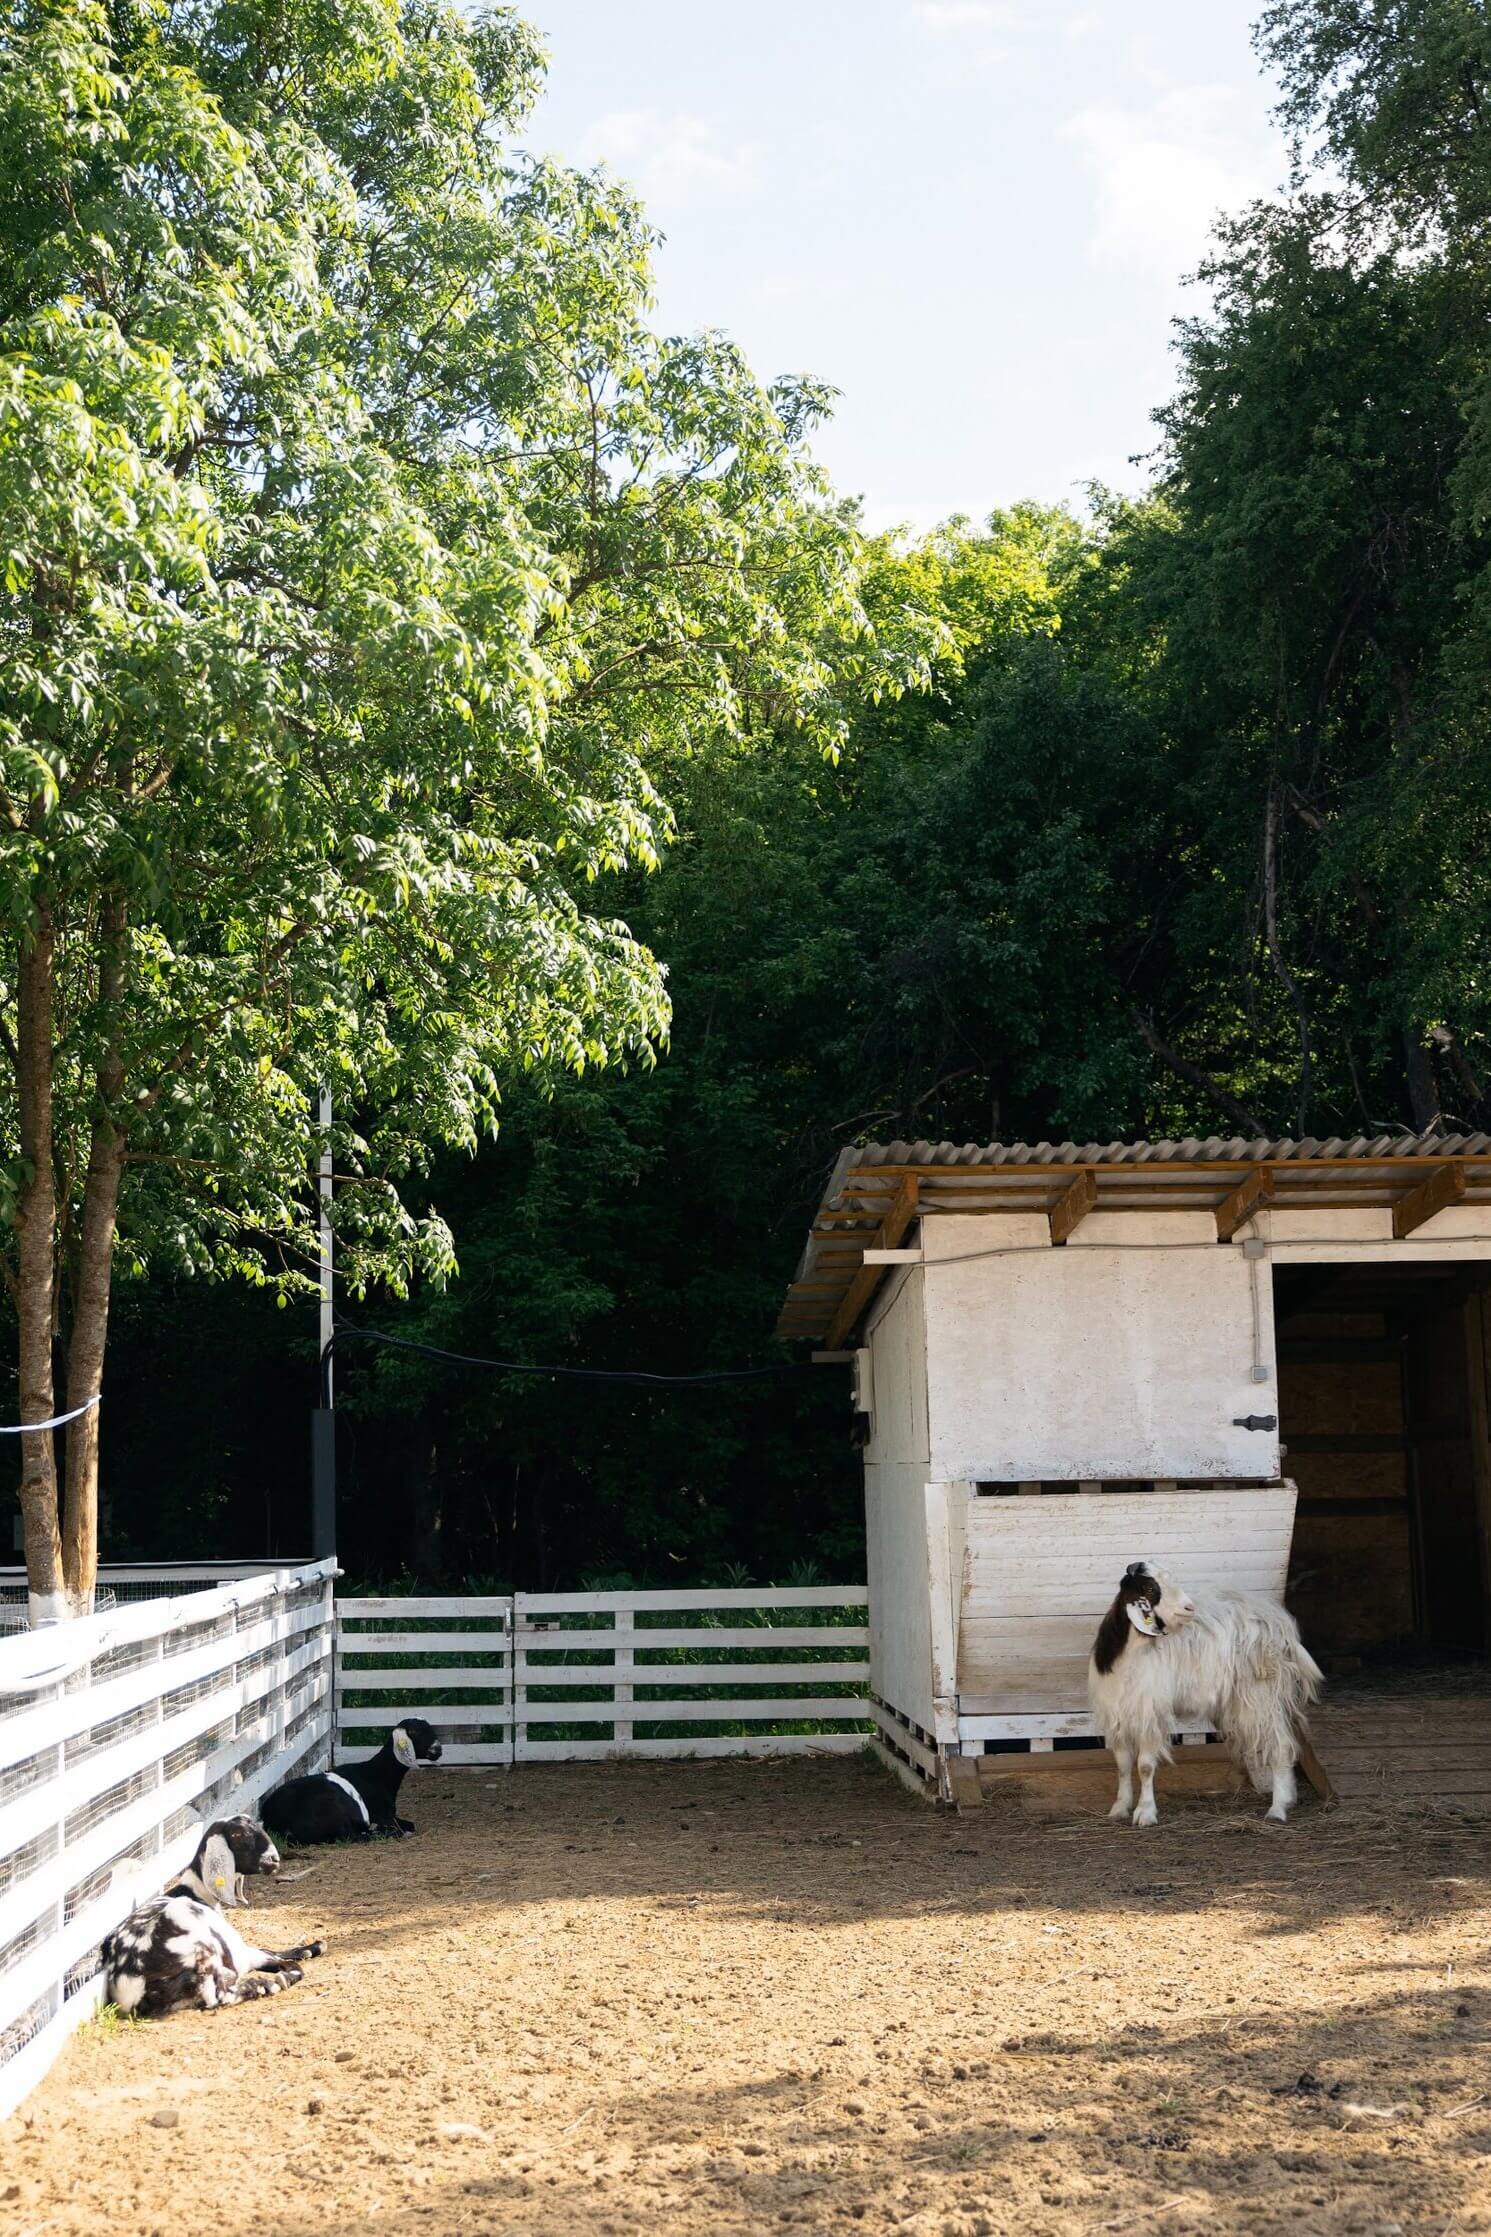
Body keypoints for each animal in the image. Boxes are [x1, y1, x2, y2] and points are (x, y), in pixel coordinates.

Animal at [102, 1817, 326, 2017]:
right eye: (238, 1834)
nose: (274, 1860)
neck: (196, 1892)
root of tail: (134, 1981)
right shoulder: (239, 1953)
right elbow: (280, 1960)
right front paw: (301, 1959)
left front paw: (310, 1948)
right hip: (205, 1955)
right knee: (219, 1997)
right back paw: (264, 1984)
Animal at [260, 1716, 444, 1845]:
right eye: (414, 1732)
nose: (438, 1750)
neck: (377, 1774)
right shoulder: (382, 1816)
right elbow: (405, 1826)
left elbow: (411, 1824)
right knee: (353, 1835)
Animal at [1088, 1561, 1322, 1827]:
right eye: (1149, 1587)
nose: (1189, 1607)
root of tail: (1280, 1624)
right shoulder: (1117, 1714)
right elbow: (1123, 1765)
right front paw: (1120, 1807)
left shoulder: (1150, 1713)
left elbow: (1145, 1766)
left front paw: (1145, 1813)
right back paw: (1288, 1798)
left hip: (1261, 1696)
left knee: (1280, 1745)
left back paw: (1278, 1809)